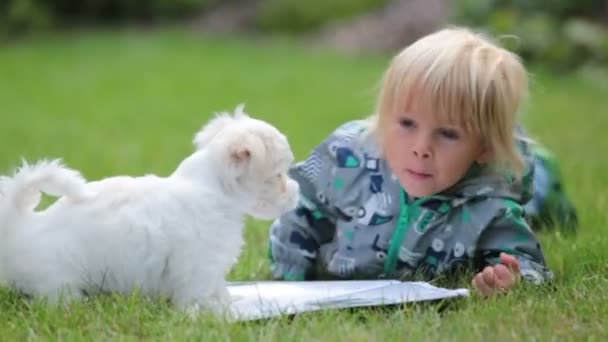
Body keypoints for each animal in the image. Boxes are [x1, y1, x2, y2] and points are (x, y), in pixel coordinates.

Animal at [0, 105, 296, 314]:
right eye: (278, 176)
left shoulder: (209, 268)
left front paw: (224, 303)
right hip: (56, 281)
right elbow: (199, 292)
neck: (213, 190)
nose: (295, 192)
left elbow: (217, 288)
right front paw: (207, 313)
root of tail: (20, 225)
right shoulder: (198, 265)